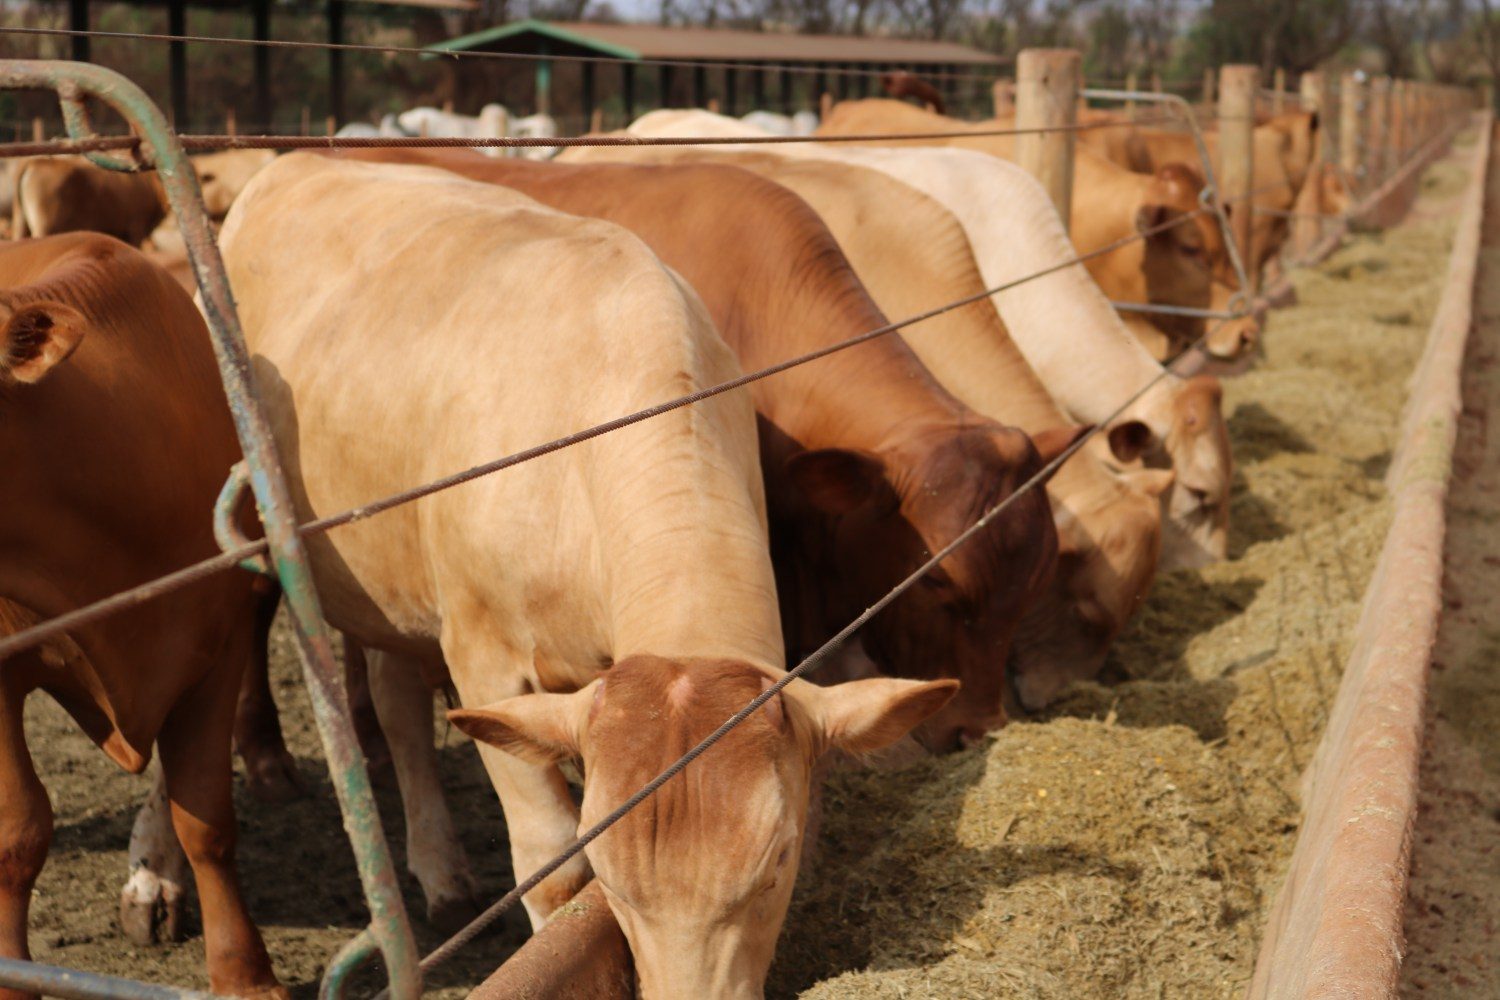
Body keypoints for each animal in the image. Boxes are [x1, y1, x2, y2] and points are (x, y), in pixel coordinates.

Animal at [219, 150, 954, 1000]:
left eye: (778, 863)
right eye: (612, 876)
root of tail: (297, 159)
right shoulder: (484, 657)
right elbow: (549, 862)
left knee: (397, 699)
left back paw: (442, 873)